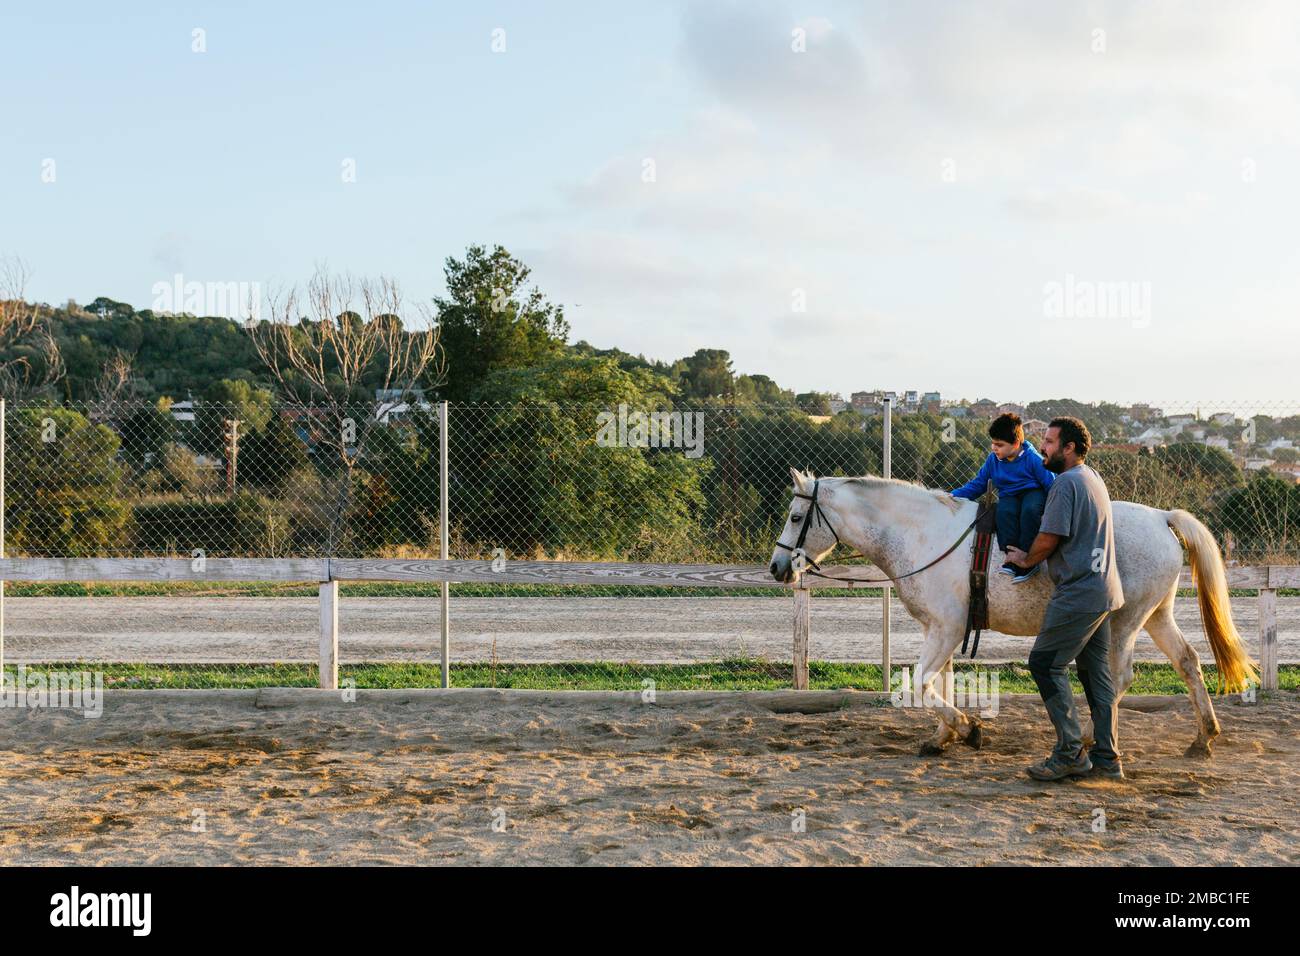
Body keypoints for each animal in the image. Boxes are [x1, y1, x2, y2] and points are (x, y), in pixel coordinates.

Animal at [769, 468, 1258, 759]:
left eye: (794, 516)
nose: (776, 567)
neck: (924, 535)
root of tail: (1160, 517)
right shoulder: (940, 629)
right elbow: (939, 682)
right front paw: (943, 737)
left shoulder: (947, 629)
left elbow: (920, 686)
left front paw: (966, 729)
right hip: (1156, 616)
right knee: (1188, 662)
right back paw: (1203, 736)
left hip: (1125, 622)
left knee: (1120, 678)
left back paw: (1087, 737)